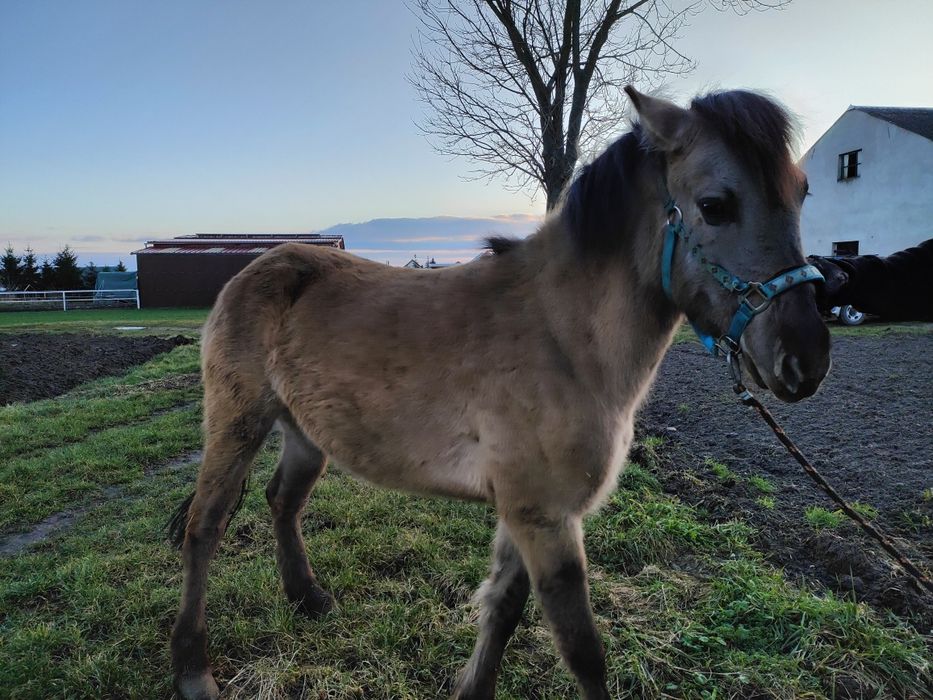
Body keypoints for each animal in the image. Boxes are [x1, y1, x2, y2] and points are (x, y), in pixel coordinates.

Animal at [167, 85, 832, 696]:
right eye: (715, 205)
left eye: (802, 192)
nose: (805, 358)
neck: (564, 337)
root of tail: (256, 269)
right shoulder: (545, 516)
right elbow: (582, 650)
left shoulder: (522, 511)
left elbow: (505, 610)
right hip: (238, 424)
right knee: (206, 528)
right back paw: (193, 669)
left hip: (306, 433)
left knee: (282, 501)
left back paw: (307, 598)